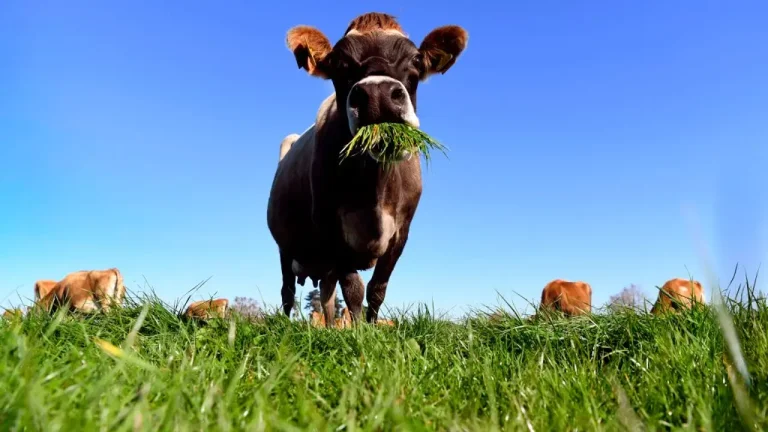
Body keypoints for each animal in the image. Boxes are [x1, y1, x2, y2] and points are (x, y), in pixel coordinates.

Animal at [267, 12, 468, 327]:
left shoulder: (401, 232)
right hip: (285, 246)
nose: (377, 94)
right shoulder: (331, 228)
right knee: (287, 290)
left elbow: (377, 288)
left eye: (415, 59)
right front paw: (359, 330)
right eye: (339, 63)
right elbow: (353, 288)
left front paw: (372, 328)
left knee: (326, 291)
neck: (373, 191)